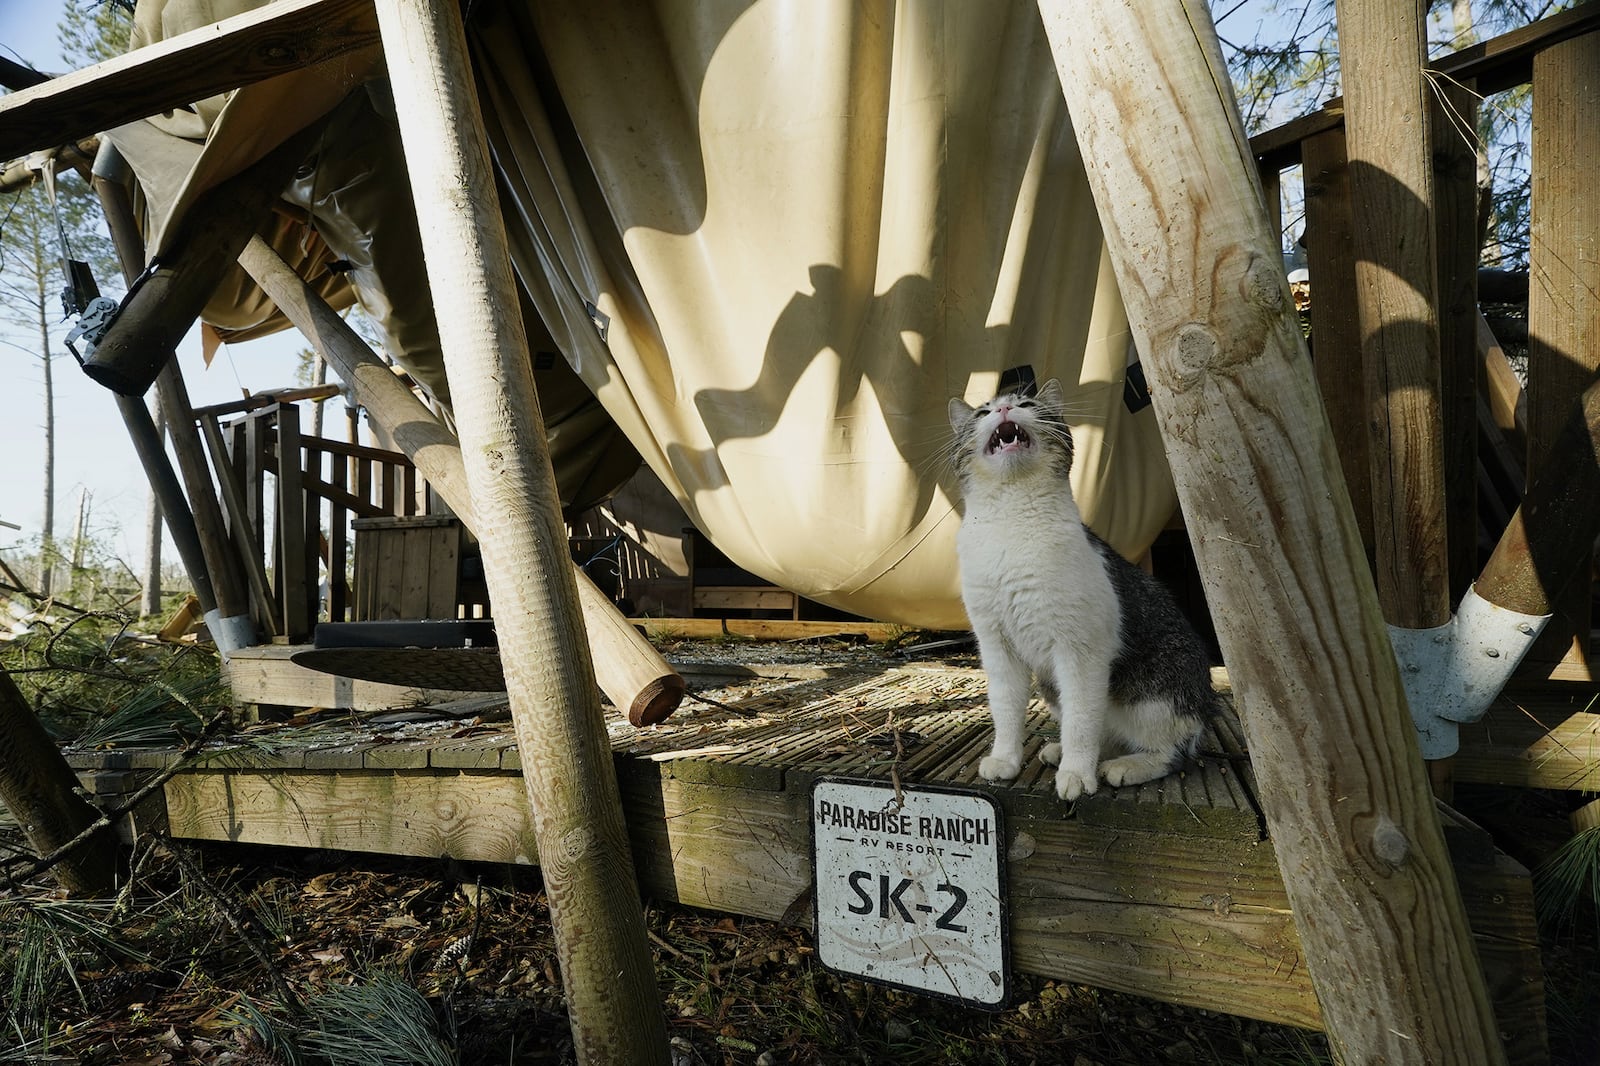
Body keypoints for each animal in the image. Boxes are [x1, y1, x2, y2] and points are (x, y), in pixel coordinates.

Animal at [940, 379, 1216, 797]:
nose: (1004, 410)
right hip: (1052, 685)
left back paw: (1124, 766)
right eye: (983, 412)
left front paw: (1076, 774)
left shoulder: (1080, 650)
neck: (1010, 522)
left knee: (1172, 751)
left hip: (1155, 697)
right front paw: (1005, 760)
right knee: (1106, 733)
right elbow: (1006, 709)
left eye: (1026, 404)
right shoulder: (997, 646)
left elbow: (1081, 721)